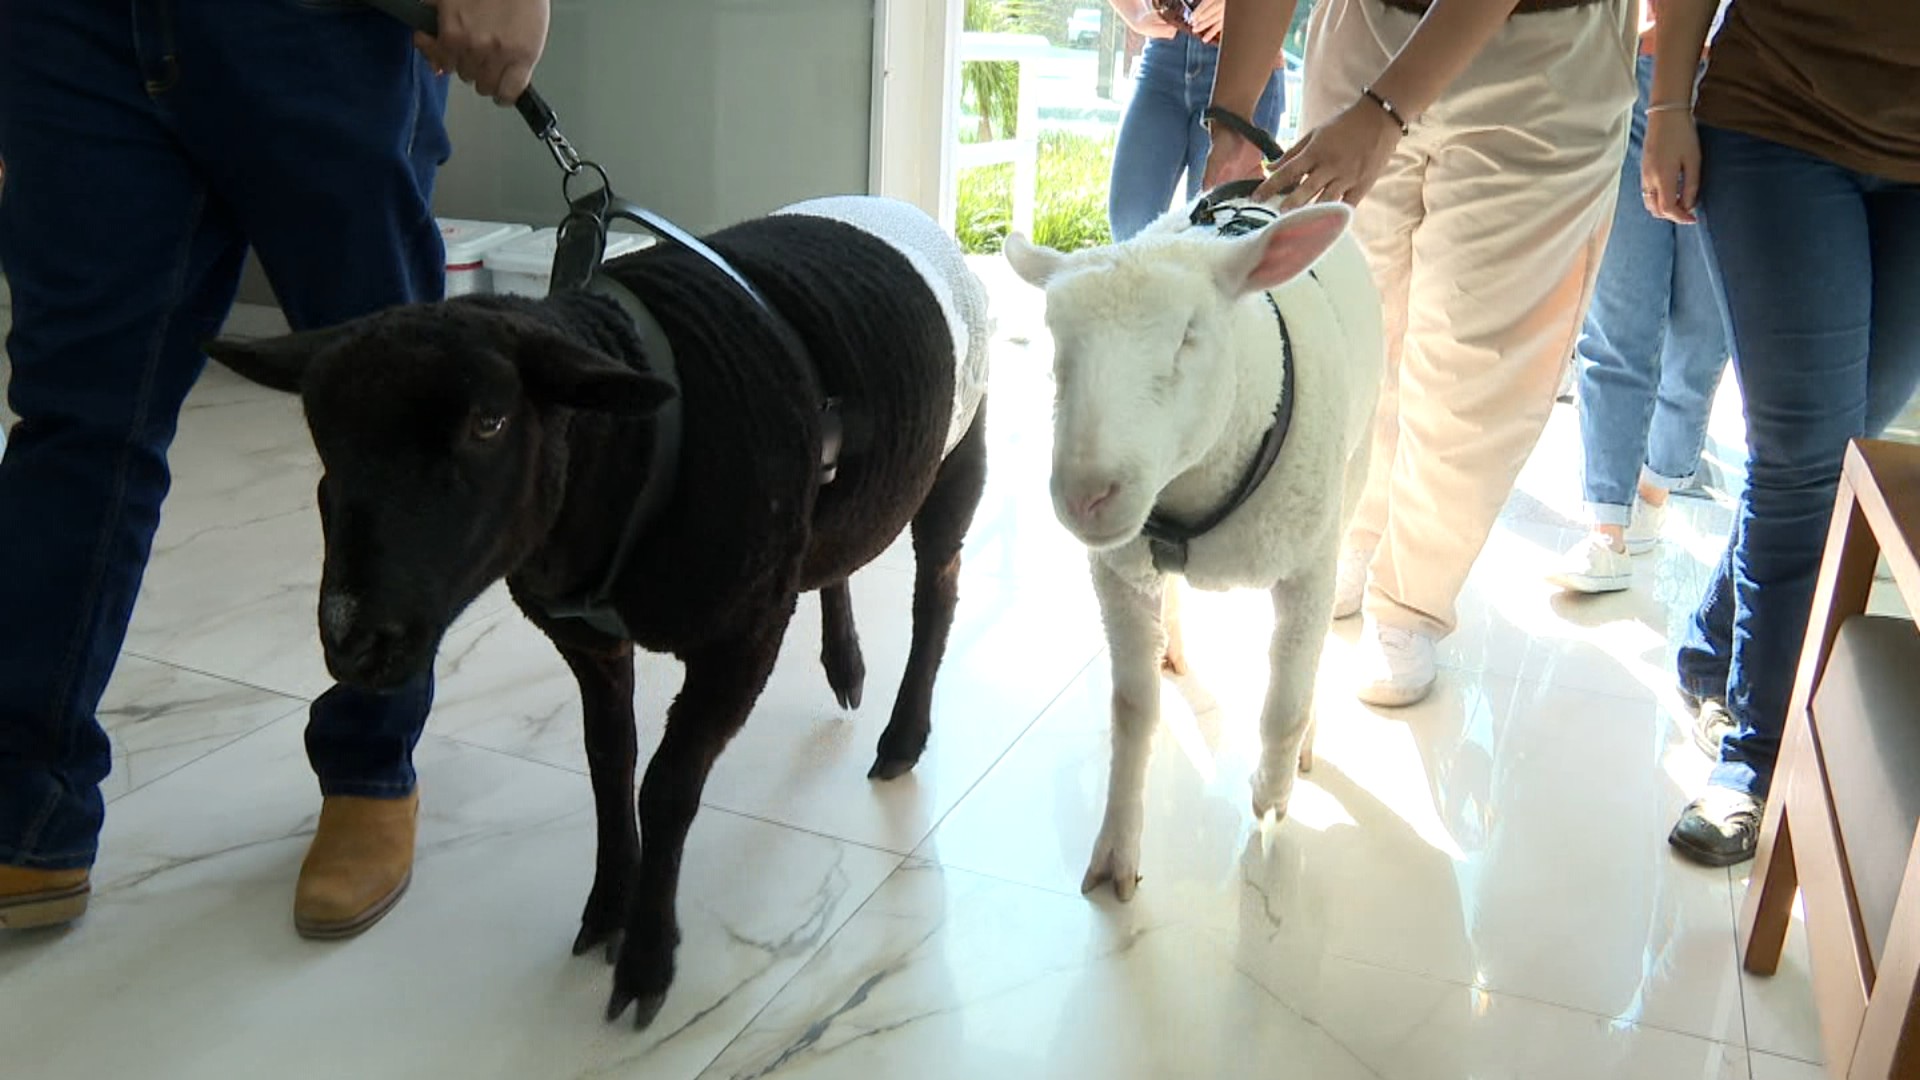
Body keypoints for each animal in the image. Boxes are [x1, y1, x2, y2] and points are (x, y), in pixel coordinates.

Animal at [206, 193, 990, 1022]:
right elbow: (609, 766)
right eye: (322, 437)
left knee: (937, 597)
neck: (628, 457)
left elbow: (667, 786)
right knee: (836, 558)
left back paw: (903, 735)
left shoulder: (741, 636)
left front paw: (647, 957)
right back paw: (846, 666)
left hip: (957, 456)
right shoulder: (589, 643)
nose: (352, 640)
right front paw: (609, 907)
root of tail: (892, 204)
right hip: (837, 505)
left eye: (490, 422)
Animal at [1006, 197, 1382, 895]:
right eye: (1056, 343)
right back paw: (1170, 646)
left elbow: (1283, 704)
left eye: (1188, 335)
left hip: (1355, 469)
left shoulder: (1307, 568)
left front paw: (1271, 798)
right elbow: (1131, 709)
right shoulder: (1116, 573)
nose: (1085, 495)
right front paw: (1117, 850)